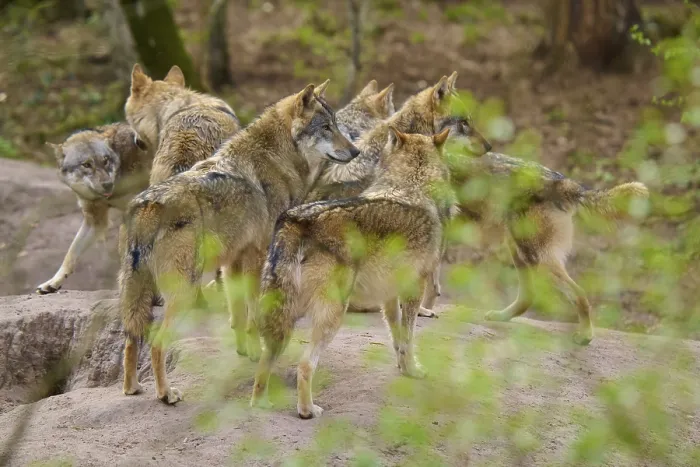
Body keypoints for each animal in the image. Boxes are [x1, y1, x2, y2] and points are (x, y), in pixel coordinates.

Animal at [36, 123, 153, 294]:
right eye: (86, 165)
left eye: (105, 161)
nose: (107, 185)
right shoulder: (95, 221)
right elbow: (71, 254)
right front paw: (53, 283)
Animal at [119, 83, 359, 404]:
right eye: (326, 127)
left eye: (336, 125)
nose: (356, 151)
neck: (278, 160)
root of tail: (148, 203)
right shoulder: (258, 256)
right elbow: (255, 312)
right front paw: (258, 351)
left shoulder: (233, 260)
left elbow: (237, 312)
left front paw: (244, 350)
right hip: (183, 293)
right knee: (156, 342)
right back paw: (166, 394)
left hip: (138, 292)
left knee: (131, 338)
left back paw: (132, 387)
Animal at [250, 128, 453, 419]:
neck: (411, 185)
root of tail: (295, 219)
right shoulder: (413, 289)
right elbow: (408, 338)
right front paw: (414, 371)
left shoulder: (388, 297)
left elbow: (397, 338)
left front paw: (403, 368)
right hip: (333, 315)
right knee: (305, 365)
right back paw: (307, 410)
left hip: (283, 319)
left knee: (266, 363)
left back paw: (261, 403)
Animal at [437, 119, 649, 345]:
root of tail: (563, 181)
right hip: (520, 252)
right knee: (529, 297)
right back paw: (502, 316)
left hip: (537, 259)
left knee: (579, 294)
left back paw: (585, 335)